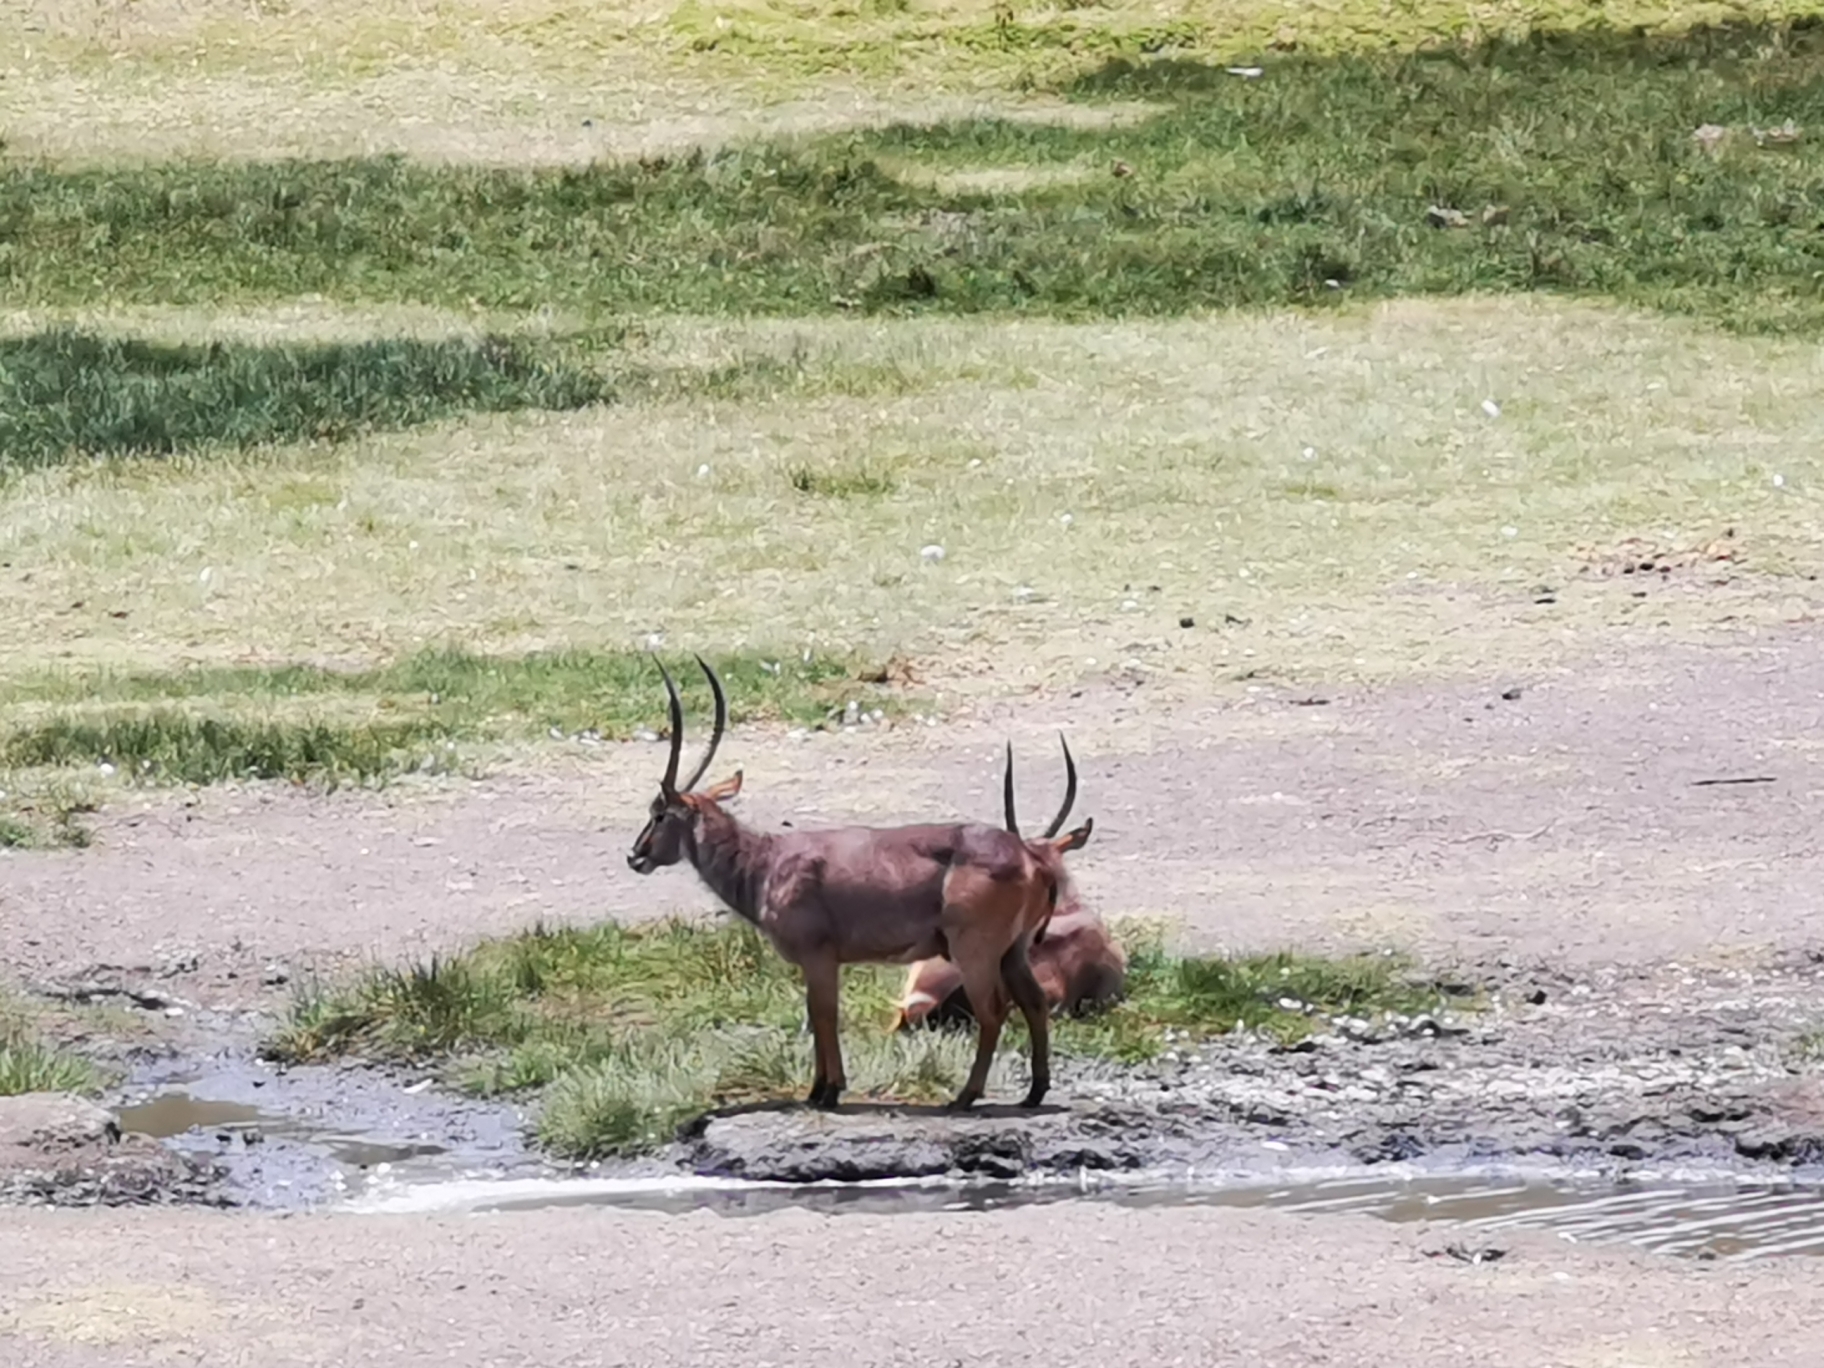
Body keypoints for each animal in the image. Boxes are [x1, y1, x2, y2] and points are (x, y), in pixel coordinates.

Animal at [620, 656, 1087, 1116]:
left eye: (659, 813)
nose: (635, 855)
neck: (766, 861)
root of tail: (1030, 857)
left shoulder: (819, 957)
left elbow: (823, 1014)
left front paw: (827, 1091)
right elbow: (820, 1014)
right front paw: (819, 1089)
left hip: (974, 953)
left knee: (993, 1013)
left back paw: (965, 1097)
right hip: (1014, 952)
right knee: (1033, 1003)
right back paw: (1033, 1093)